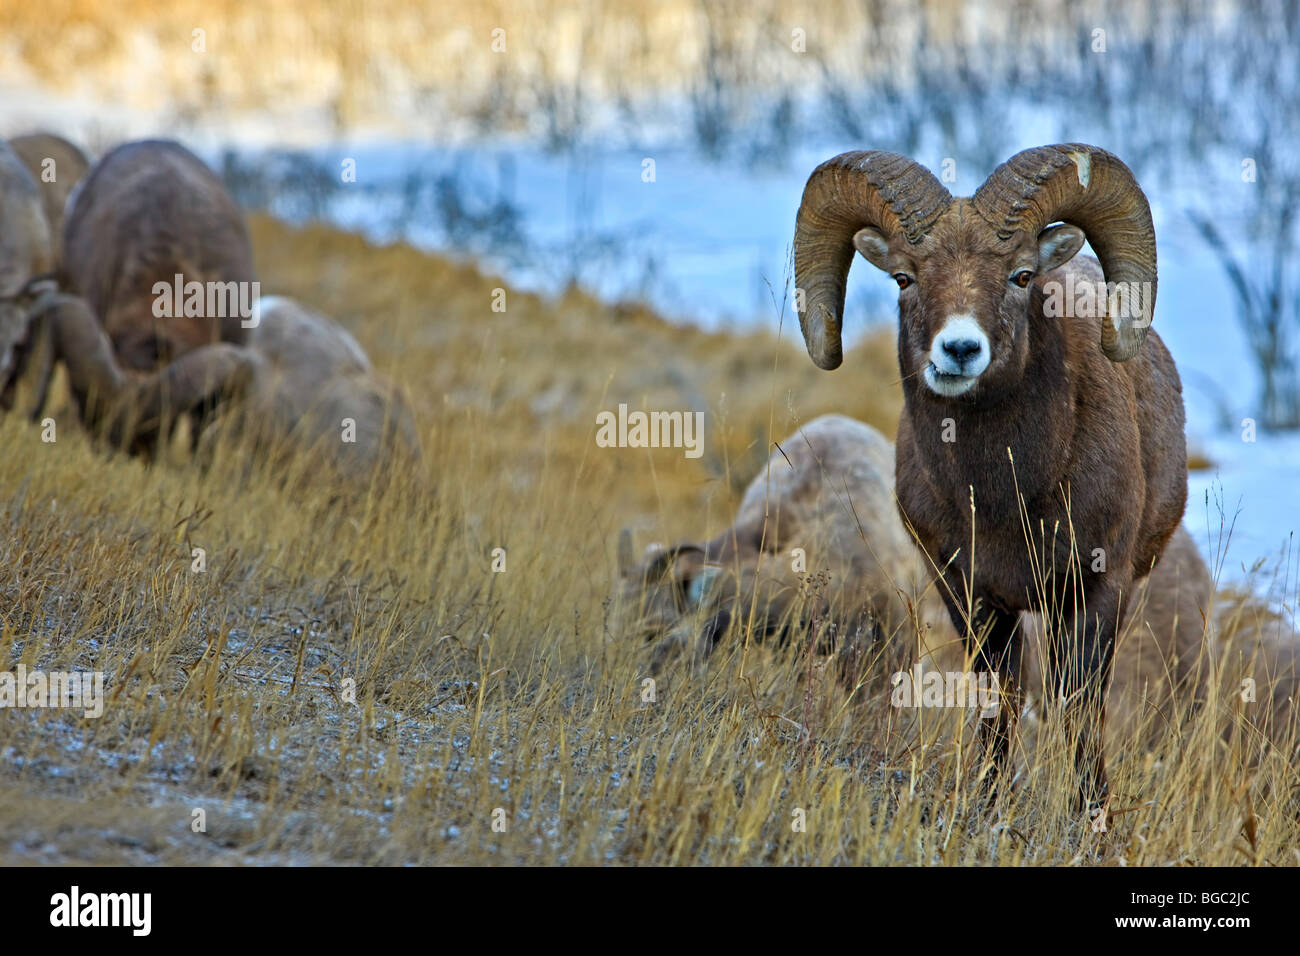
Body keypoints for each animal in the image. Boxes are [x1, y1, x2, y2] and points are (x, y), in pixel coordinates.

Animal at [790, 147, 1190, 806]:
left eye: (1020, 276)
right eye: (903, 278)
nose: (958, 350)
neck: (1005, 495)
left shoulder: (1095, 593)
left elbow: (1080, 711)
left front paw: (1089, 814)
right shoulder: (970, 597)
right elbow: (997, 705)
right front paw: (991, 800)